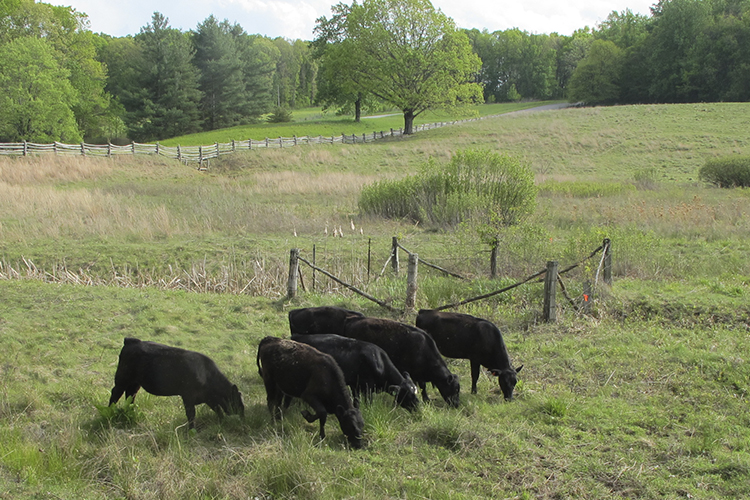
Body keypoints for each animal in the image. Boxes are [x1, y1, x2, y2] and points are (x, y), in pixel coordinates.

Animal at [107, 338, 244, 428]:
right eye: (236, 400)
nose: (243, 412)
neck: (207, 376)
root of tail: (132, 341)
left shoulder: (209, 398)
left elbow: (218, 410)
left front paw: (222, 422)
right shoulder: (188, 397)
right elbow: (191, 415)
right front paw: (192, 430)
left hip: (135, 383)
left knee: (130, 396)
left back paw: (131, 413)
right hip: (121, 380)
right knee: (115, 394)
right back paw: (110, 411)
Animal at [292, 334, 424, 412]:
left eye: (415, 393)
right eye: (409, 395)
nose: (419, 408)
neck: (379, 362)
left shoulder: (355, 385)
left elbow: (356, 401)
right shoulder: (367, 386)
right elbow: (368, 402)